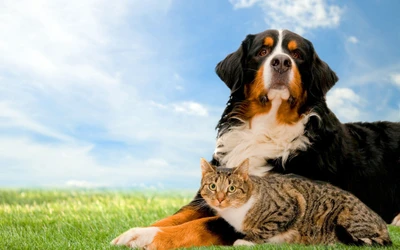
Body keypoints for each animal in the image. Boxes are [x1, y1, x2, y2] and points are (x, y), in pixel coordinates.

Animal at [198, 158, 392, 246]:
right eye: (213, 186)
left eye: (231, 189)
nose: (220, 199)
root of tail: (382, 223)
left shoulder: (290, 204)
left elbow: (266, 228)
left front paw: (246, 241)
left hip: (347, 217)